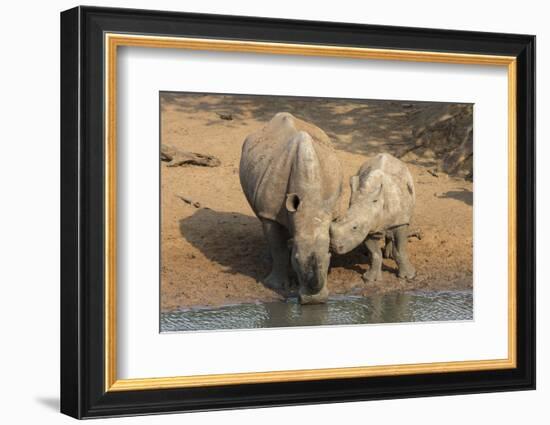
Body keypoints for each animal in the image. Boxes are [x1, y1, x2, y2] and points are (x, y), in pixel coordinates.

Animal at [239, 112, 342, 304]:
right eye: (296, 259)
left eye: (329, 257)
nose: (314, 301)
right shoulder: (269, 213)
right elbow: (278, 246)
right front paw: (276, 286)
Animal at [330, 153, 416, 282]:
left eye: (354, 227)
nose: (335, 247)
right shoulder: (368, 226)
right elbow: (375, 253)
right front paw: (370, 279)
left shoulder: (400, 221)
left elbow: (400, 250)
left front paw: (408, 276)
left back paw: (389, 255)